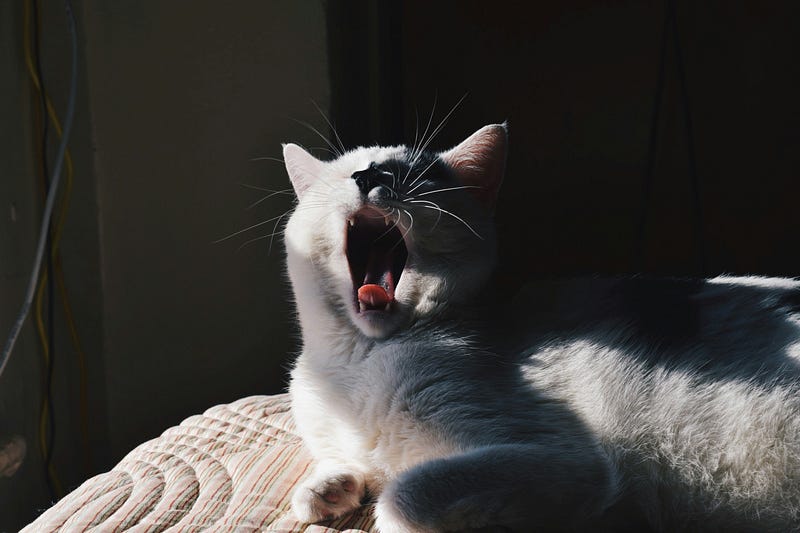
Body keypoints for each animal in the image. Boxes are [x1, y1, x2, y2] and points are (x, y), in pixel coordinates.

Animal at [282, 122, 800, 528]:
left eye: (414, 175)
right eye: (350, 172)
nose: (370, 176)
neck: (357, 361)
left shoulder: (565, 459)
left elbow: (403, 494)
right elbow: (338, 464)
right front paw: (328, 487)